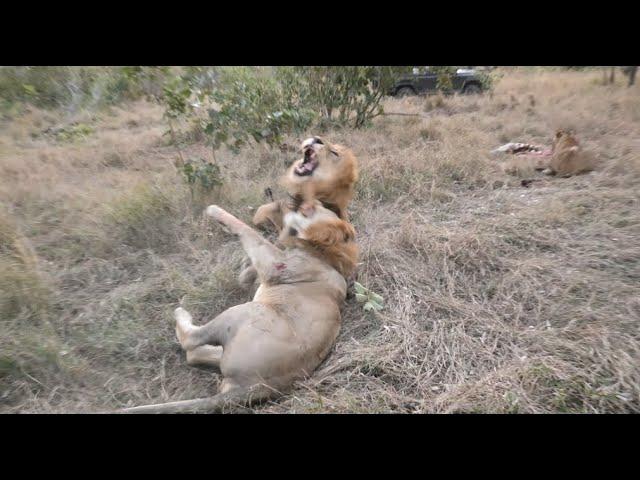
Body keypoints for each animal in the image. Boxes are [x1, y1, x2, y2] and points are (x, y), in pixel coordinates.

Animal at [119, 201, 358, 414]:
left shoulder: (275, 264)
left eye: (310, 209)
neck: (323, 253)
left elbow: (249, 232)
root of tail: (254, 387)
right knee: (195, 354)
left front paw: (215, 211)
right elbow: (250, 263)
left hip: (246, 311)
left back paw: (181, 313)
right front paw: (245, 270)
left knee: (191, 341)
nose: (294, 202)